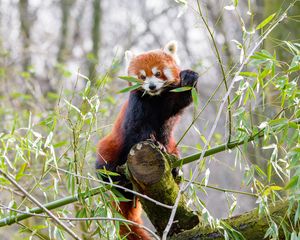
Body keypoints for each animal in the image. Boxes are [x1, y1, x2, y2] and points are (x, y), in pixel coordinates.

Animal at [96, 41, 199, 240]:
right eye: (142, 76)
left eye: (158, 73)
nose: (151, 86)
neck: (155, 98)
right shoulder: (137, 106)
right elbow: (138, 130)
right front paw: (152, 141)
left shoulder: (169, 106)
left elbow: (180, 102)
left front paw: (189, 78)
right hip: (111, 147)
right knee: (105, 164)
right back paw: (116, 179)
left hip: (173, 145)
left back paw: (175, 169)